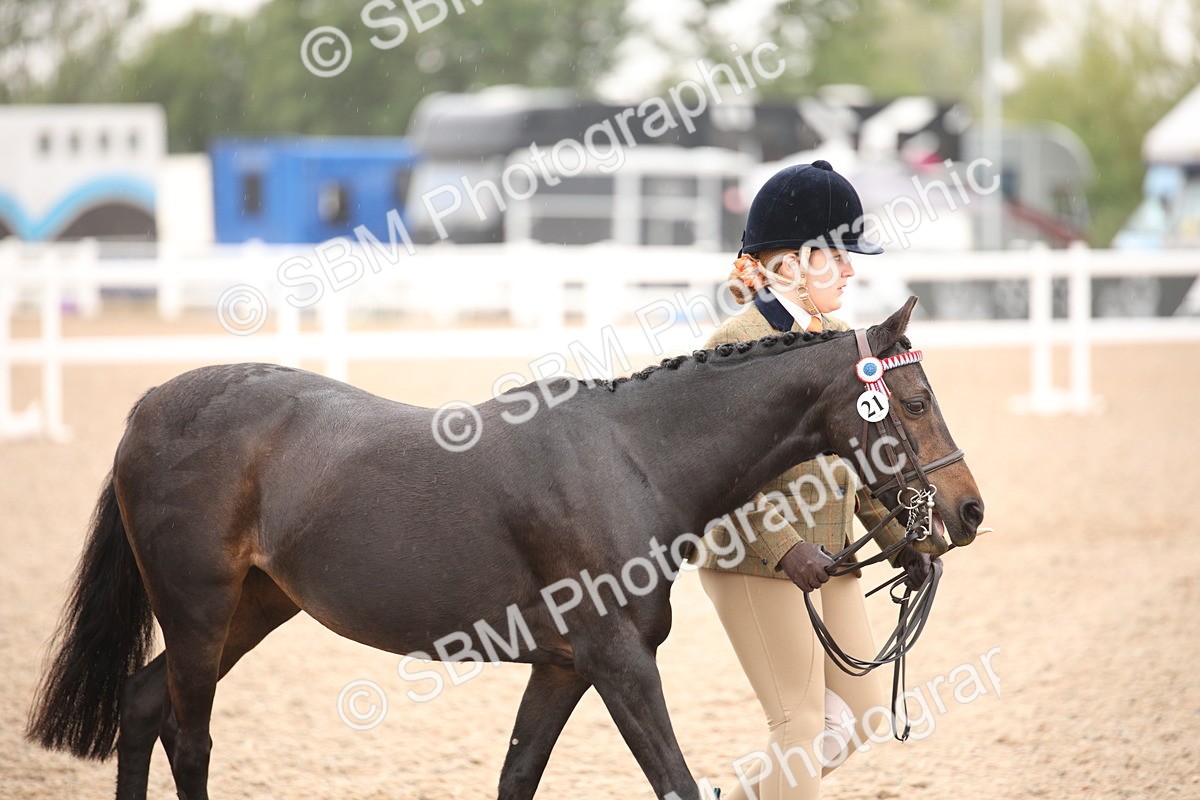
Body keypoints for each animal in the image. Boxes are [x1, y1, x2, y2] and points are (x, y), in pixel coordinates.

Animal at [26, 296, 984, 800]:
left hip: (251, 608)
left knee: (142, 705)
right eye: (916, 400)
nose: (968, 511)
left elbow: (516, 778)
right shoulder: (618, 662)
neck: (631, 457)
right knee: (187, 734)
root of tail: (154, 404)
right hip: (197, 607)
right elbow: (674, 781)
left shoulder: (562, 668)